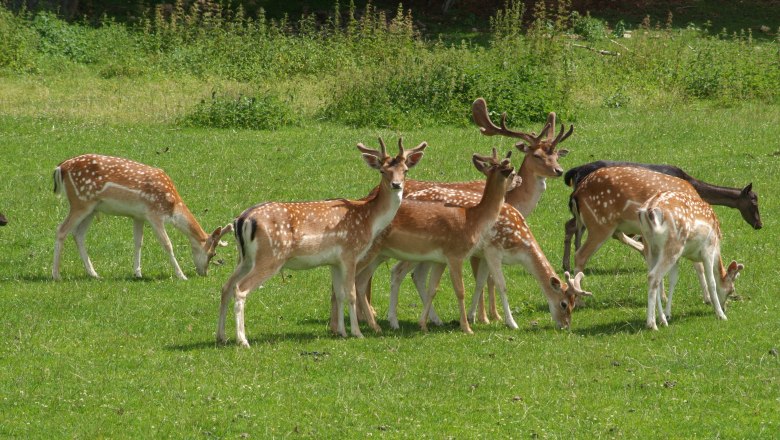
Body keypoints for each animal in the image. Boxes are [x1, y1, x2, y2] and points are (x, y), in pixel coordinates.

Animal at [52, 153, 232, 280]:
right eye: (213, 254)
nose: (204, 273)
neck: (173, 207)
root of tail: (61, 167)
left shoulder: (138, 216)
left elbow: (138, 242)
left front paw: (138, 273)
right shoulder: (154, 214)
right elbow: (167, 244)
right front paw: (181, 275)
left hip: (92, 208)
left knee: (78, 234)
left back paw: (93, 273)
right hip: (80, 202)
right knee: (61, 229)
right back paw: (56, 275)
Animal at [216, 138, 426, 348]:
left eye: (405, 170)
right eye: (382, 171)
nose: (396, 184)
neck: (369, 220)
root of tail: (242, 220)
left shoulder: (334, 261)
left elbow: (339, 294)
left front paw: (341, 332)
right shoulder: (350, 253)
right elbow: (351, 293)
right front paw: (357, 333)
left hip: (245, 258)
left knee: (226, 286)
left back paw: (222, 336)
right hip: (270, 257)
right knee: (240, 289)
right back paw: (243, 340)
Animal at [636, 191, 748, 328]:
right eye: (731, 290)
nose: (725, 308)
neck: (717, 248)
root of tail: (647, 211)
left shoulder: (678, 258)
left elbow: (673, 281)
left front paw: (668, 314)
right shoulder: (708, 251)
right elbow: (712, 282)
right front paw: (721, 315)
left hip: (650, 247)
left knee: (655, 277)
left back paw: (662, 320)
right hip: (674, 245)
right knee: (653, 276)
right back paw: (652, 324)